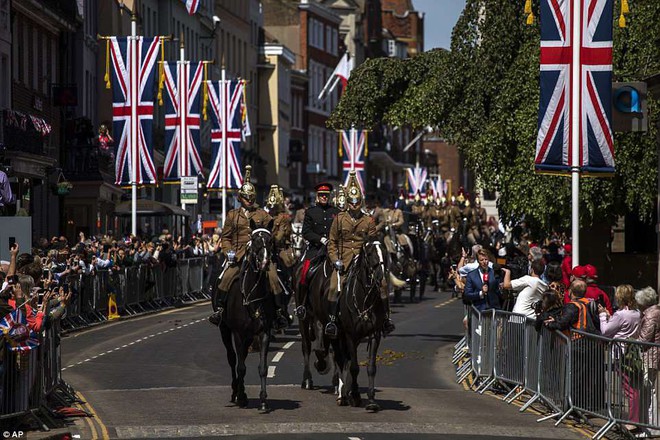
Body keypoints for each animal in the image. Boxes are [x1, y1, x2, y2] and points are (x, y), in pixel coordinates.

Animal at [219, 223, 276, 412]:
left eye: (270, 240)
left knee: (242, 355)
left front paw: (263, 401)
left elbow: (263, 367)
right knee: (232, 359)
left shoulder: (264, 332)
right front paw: (242, 397)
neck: (252, 295)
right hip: (225, 330)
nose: (264, 263)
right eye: (255, 241)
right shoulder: (237, 333)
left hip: (249, 335)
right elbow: (241, 367)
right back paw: (235, 392)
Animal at [332, 239, 390, 410]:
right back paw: (342, 395)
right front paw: (356, 396)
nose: (381, 278)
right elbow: (354, 367)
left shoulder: (374, 335)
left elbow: (371, 367)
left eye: (385, 252)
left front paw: (371, 400)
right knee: (341, 360)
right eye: (370, 254)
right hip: (337, 337)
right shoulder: (350, 335)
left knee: (346, 360)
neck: (364, 299)